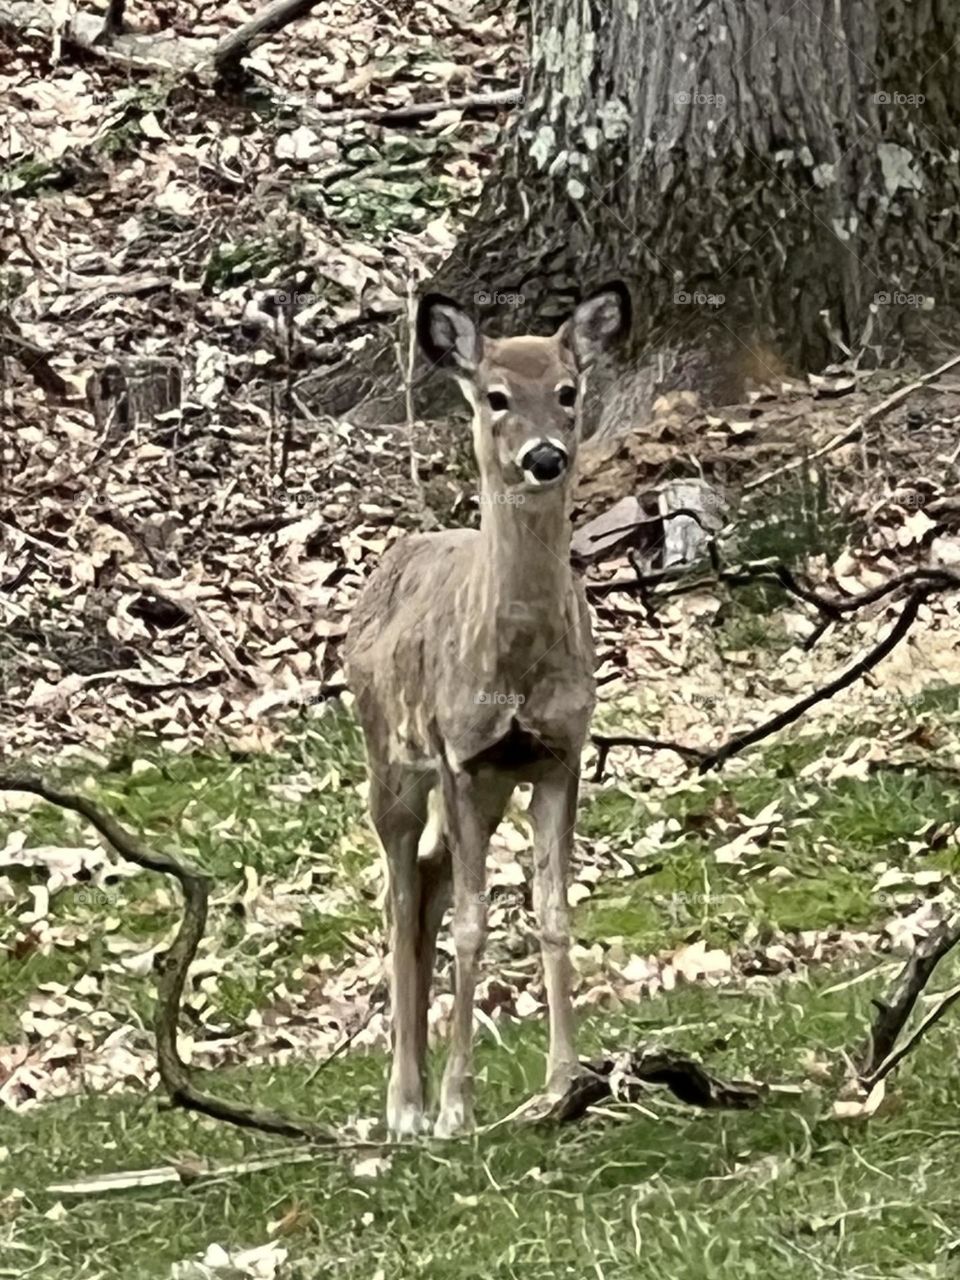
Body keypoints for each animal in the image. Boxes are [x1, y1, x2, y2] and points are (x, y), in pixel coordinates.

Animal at [344, 281, 632, 1137]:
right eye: (496, 396)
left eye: (568, 391)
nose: (545, 457)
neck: (516, 666)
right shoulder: (462, 755)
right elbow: (473, 925)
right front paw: (454, 1107)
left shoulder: (555, 754)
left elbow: (554, 911)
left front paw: (565, 1080)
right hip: (391, 757)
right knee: (401, 897)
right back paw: (405, 1103)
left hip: (488, 782)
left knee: (431, 881)